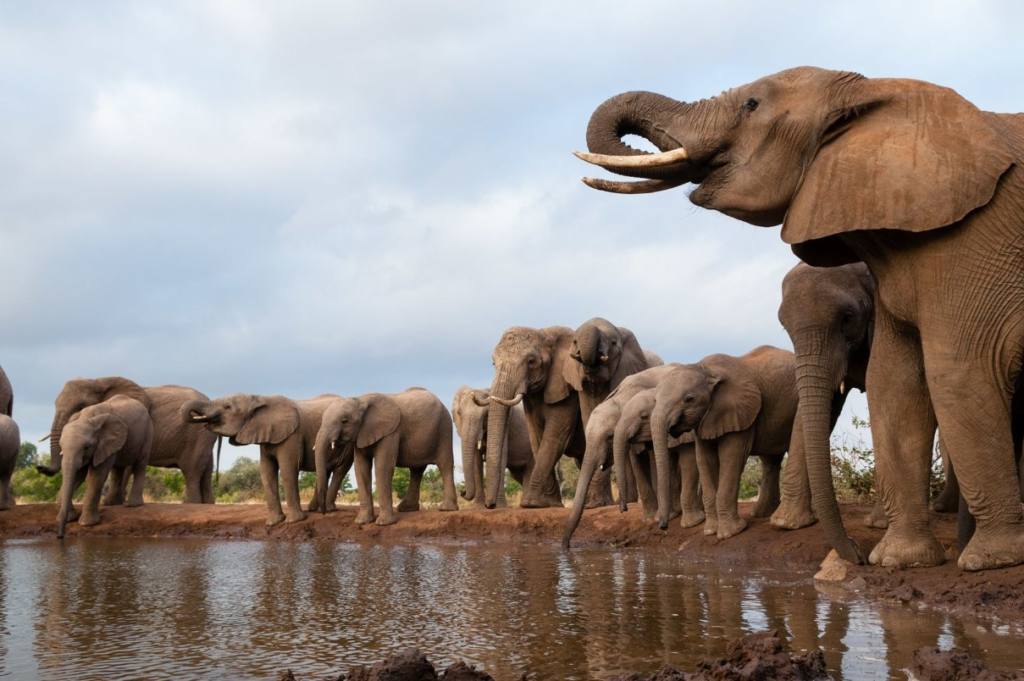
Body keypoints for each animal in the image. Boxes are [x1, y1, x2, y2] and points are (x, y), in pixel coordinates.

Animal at [40, 376, 217, 503]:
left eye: (80, 407)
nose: (40, 467)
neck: (99, 380)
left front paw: (110, 502)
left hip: (196, 436)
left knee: (191, 472)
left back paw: (192, 504)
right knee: (206, 473)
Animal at [55, 393, 151, 536]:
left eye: (86, 447)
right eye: (61, 446)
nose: (60, 536)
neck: (87, 418)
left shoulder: (104, 443)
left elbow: (96, 476)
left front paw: (87, 524)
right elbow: (78, 475)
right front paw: (70, 518)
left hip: (148, 433)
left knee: (140, 464)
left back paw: (133, 505)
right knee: (118, 469)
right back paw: (111, 504)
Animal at [309, 387, 458, 524]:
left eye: (344, 421)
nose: (323, 513)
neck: (360, 400)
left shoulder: (391, 432)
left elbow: (383, 467)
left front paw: (384, 523)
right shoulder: (362, 433)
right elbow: (360, 468)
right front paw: (362, 522)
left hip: (445, 428)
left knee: (444, 465)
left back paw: (446, 509)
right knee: (416, 470)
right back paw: (406, 509)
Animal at [647, 348, 815, 540]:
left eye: (689, 399)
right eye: (655, 400)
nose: (663, 527)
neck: (705, 369)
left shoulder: (739, 413)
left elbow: (731, 456)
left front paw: (730, 533)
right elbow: (704, 459)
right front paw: (710, 531)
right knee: (771, 460)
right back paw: (761, 514)